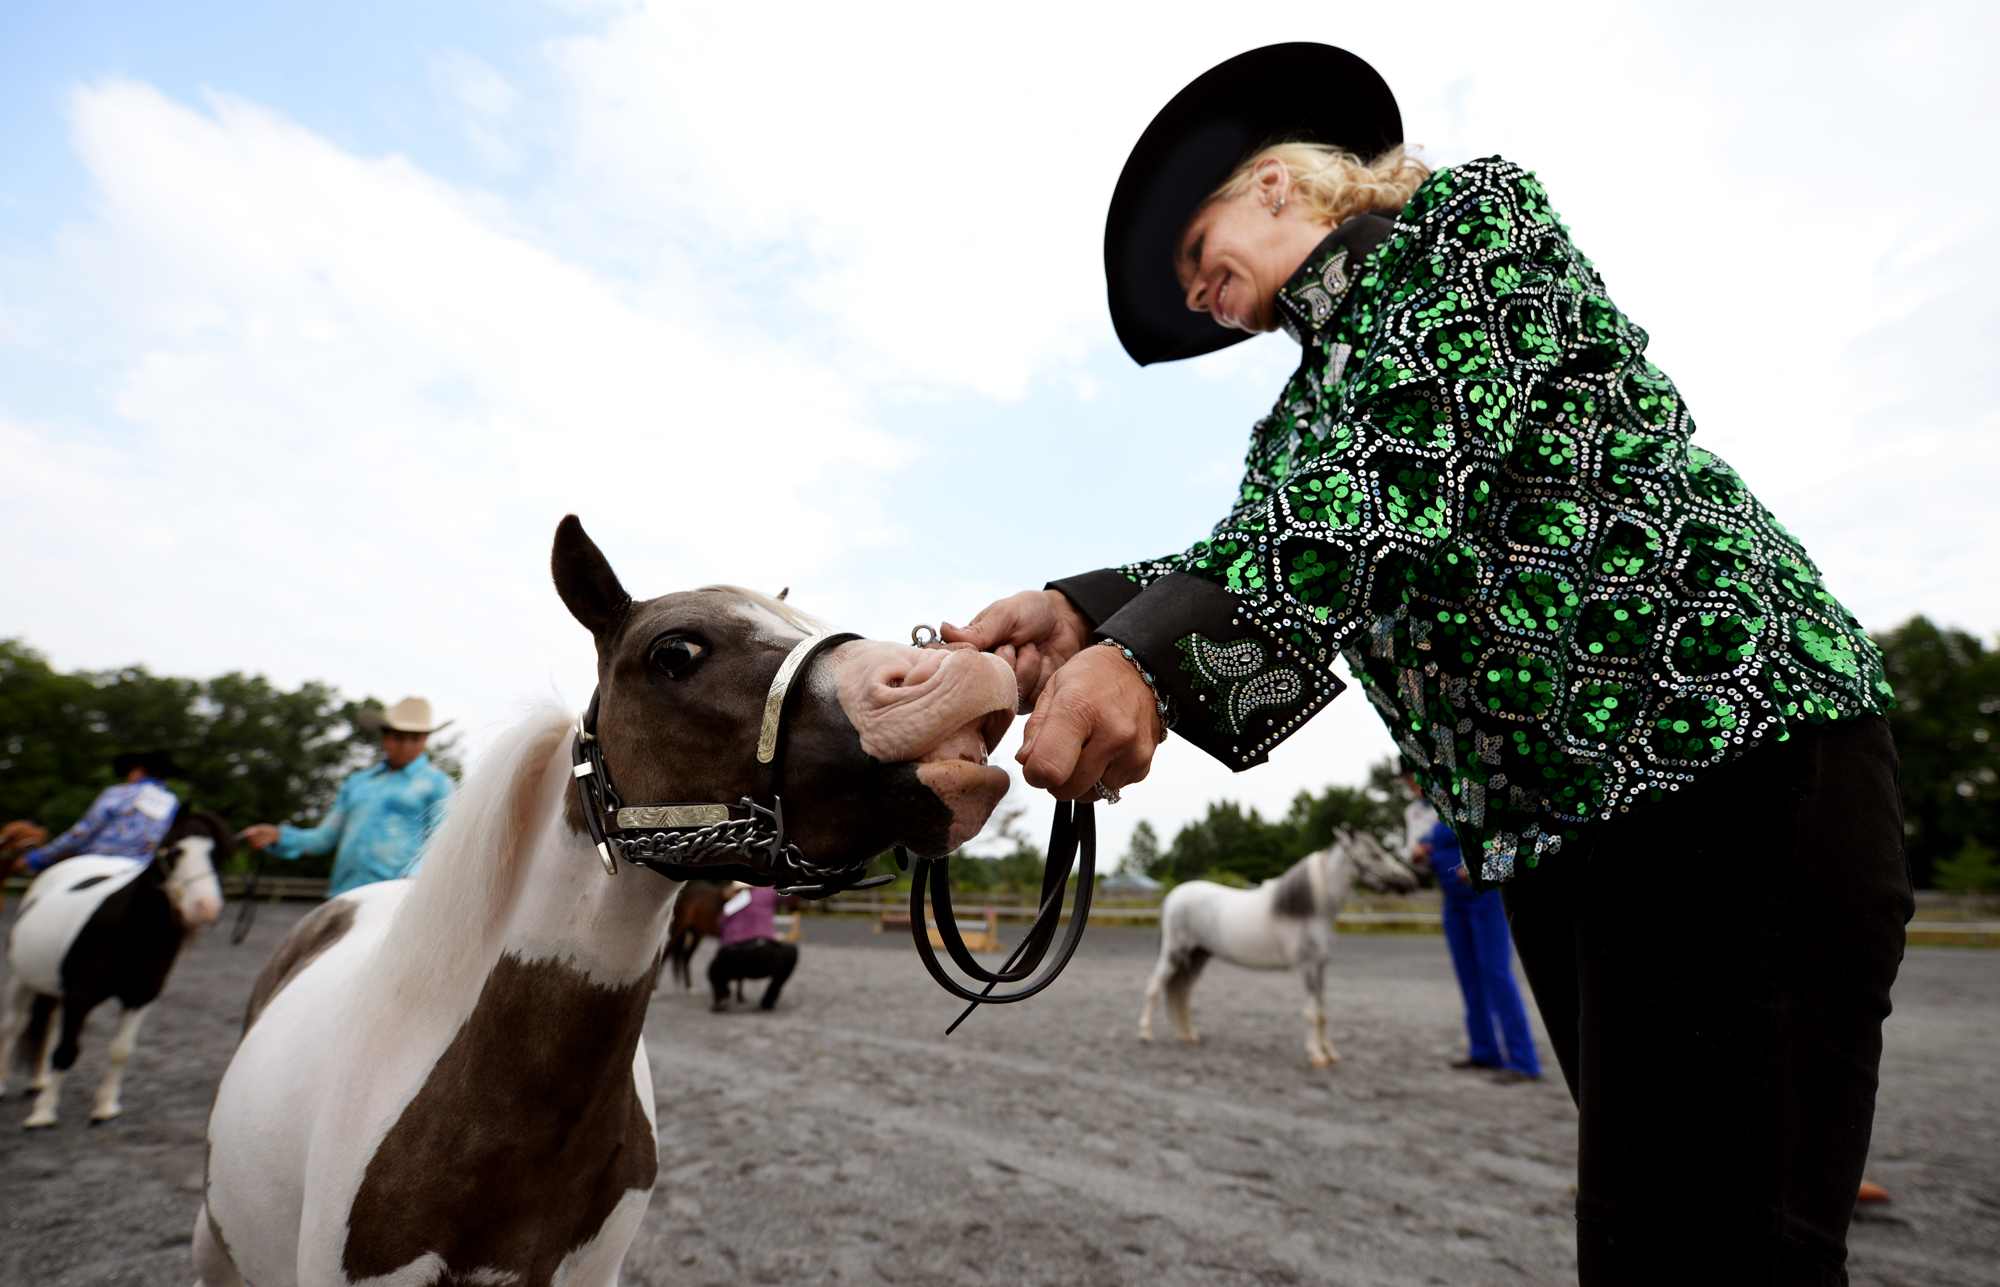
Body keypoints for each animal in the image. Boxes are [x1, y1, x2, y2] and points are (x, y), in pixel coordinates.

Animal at [1, 807, 230, 1127]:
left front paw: (105, 1106)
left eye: (218, 852)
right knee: (14, 1025)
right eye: (175, 849)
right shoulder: (80, 995)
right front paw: (44, 1112)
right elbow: (66, 1051)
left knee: (46, 1025)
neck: (130, 932)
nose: (205, 907)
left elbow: (121, 1051)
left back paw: (39, 1080)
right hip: (21, 978)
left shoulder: (142, 997)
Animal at [1138, 828, 1418, 1069]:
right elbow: (1311, 1013)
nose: (1410, 882)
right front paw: (1316, 1056)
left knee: (1182, 992)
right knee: (1154, 987)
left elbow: (1322, 1013)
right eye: (1375, 854)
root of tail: (1174, 896)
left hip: (1198, 956)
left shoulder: (1320, 969)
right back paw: (1145, 1034)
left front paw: (1330, 1053)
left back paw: (1188, 1034)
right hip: (1174, 953)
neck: (1311, 911)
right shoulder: (1306, 969)